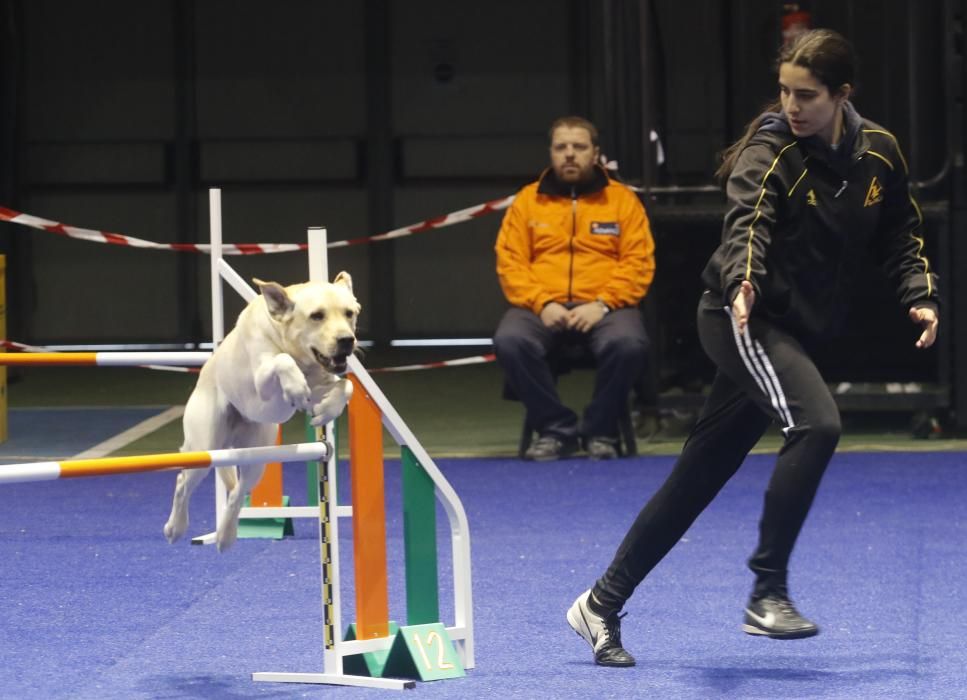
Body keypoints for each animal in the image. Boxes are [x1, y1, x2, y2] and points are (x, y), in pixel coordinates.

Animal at [164, 274, 362, 552]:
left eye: (350, 313)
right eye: (317, 316)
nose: (347, 340)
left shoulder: (321, 383)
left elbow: (346, 386)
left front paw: (326, 411)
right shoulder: (262, 383)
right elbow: (282, 361)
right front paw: (295, 386)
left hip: (256, 460)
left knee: (236, 494)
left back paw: (225, 537)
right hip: (204, 448)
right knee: (183, 483)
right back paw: (175, 528)